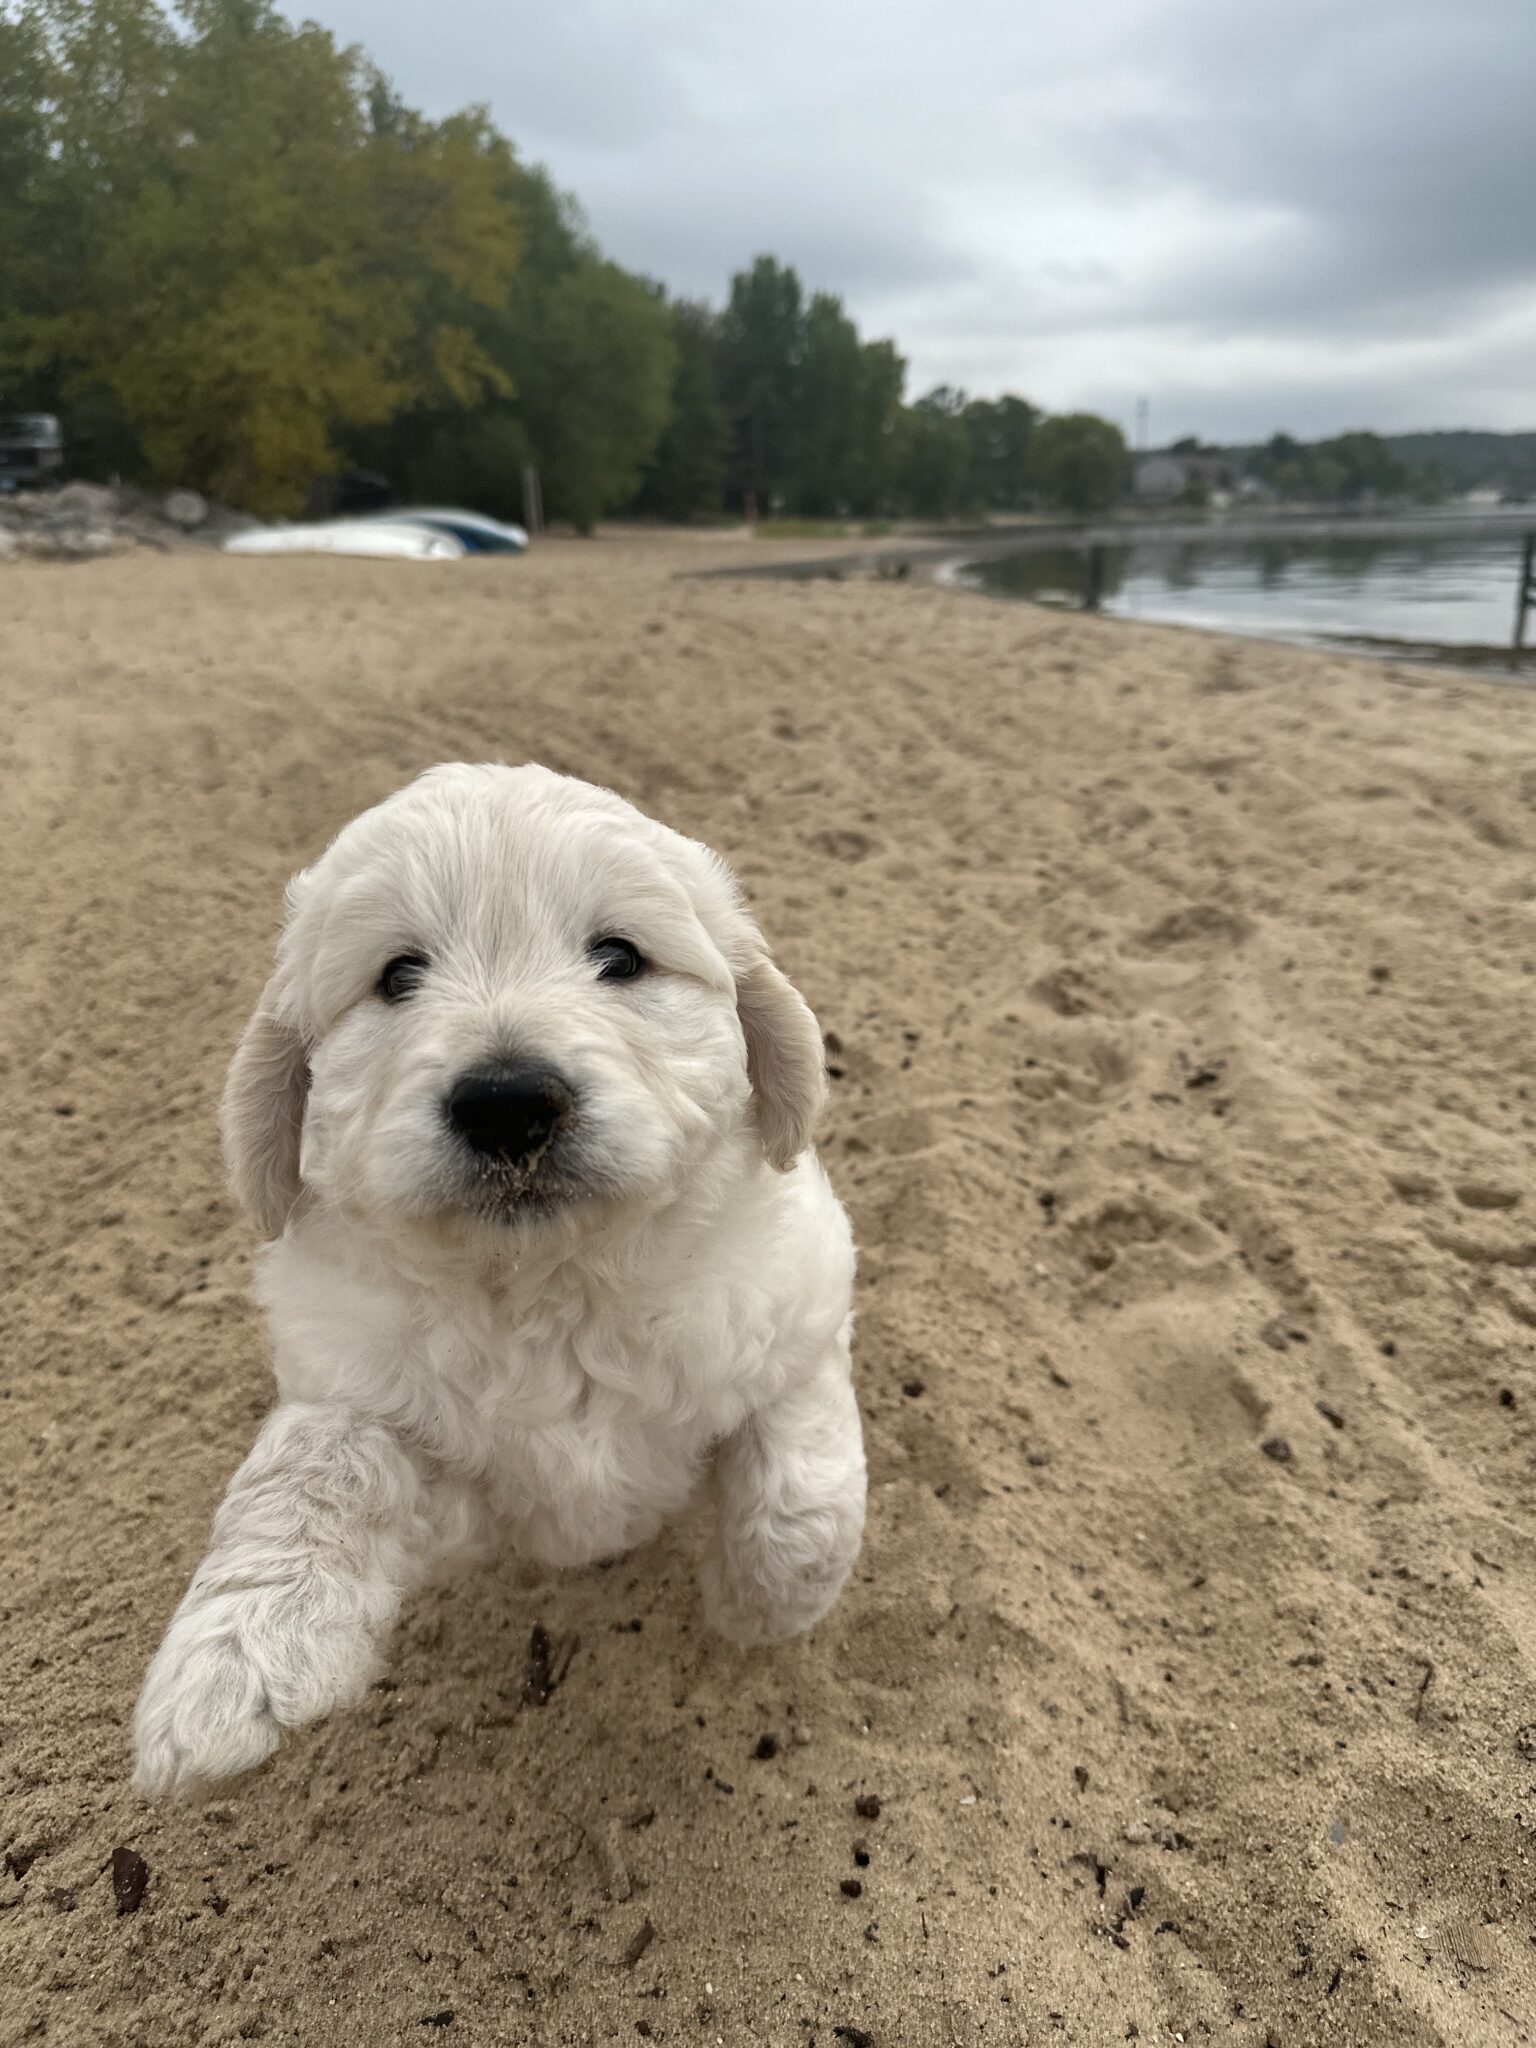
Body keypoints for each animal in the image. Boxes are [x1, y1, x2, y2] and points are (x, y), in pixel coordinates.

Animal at [133, 763, 864, 1797]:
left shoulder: (798, 1309)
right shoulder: (401, 1424)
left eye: (620, 957)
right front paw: (232, 1661)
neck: (553, 1289)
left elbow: (802, 1500)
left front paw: (758, 1611)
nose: (508, 1101)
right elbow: (315, 1465)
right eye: (397, 976)